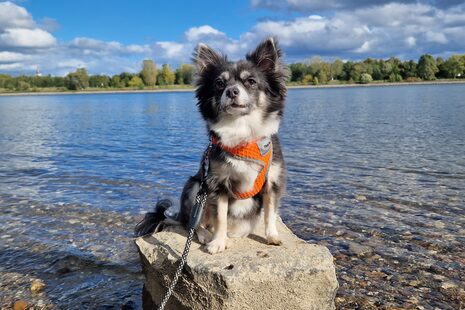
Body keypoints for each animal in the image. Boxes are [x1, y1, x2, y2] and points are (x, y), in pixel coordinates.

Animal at [134, 37, 286, 254]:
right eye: (219, 83)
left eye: (251, 81)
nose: (231, 91)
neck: (242, 133)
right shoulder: (217, 184)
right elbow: (220, 217)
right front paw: (218, 242)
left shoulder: (272, 182)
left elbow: (270, 212)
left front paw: (272, 236)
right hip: (196, 186)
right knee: (192, 223)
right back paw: (206, 234)